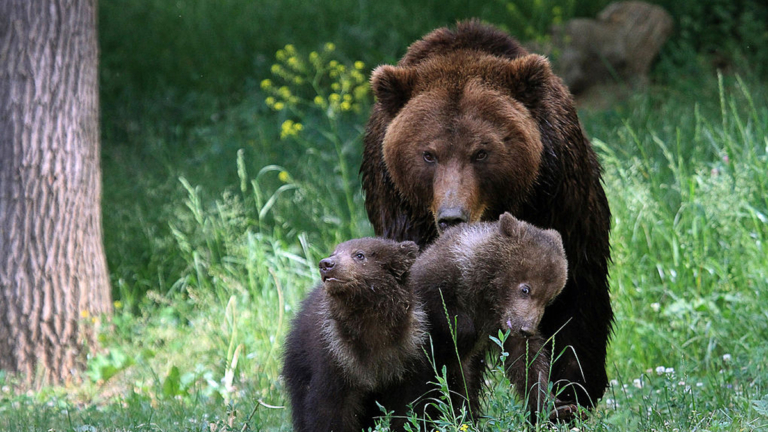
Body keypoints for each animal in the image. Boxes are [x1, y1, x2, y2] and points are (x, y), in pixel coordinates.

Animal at [282, 237, 427, 432]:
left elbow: (409, 406)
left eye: (359, 254)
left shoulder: (407, 356)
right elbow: (328, 410)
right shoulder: (336, 359)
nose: (326, 264)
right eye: (334, 252)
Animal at [406, 212, 570, 422]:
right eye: (525, 289)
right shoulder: (437, 285)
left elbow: (527, 362)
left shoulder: (501, 323)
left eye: (549, 299)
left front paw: (557, 407)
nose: (526, 329)